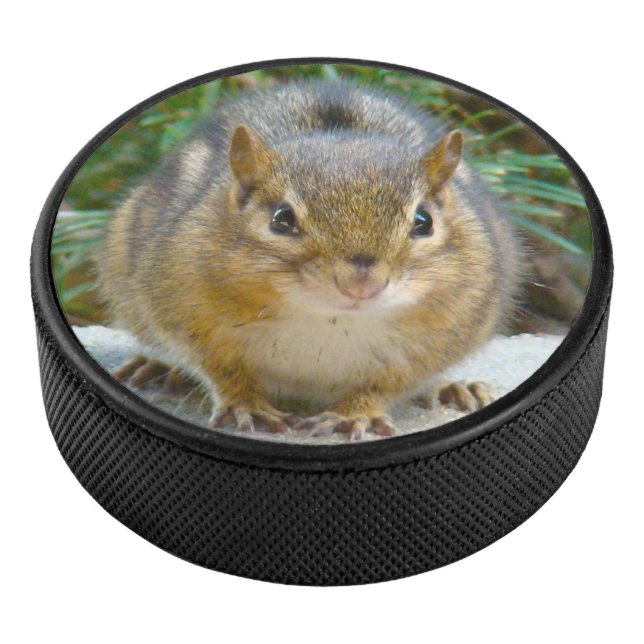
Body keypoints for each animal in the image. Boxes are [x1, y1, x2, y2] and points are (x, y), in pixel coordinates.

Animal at [99, 80, 522, 440]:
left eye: (424, 221)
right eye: (281, 219)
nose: (361, 285)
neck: (329, 319)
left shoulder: (445, 333)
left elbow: (391, 382)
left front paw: (355, 414)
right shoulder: (184, 309)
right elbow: (220, 367)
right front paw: (246, 405)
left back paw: (455, 388)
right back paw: (158, 367)